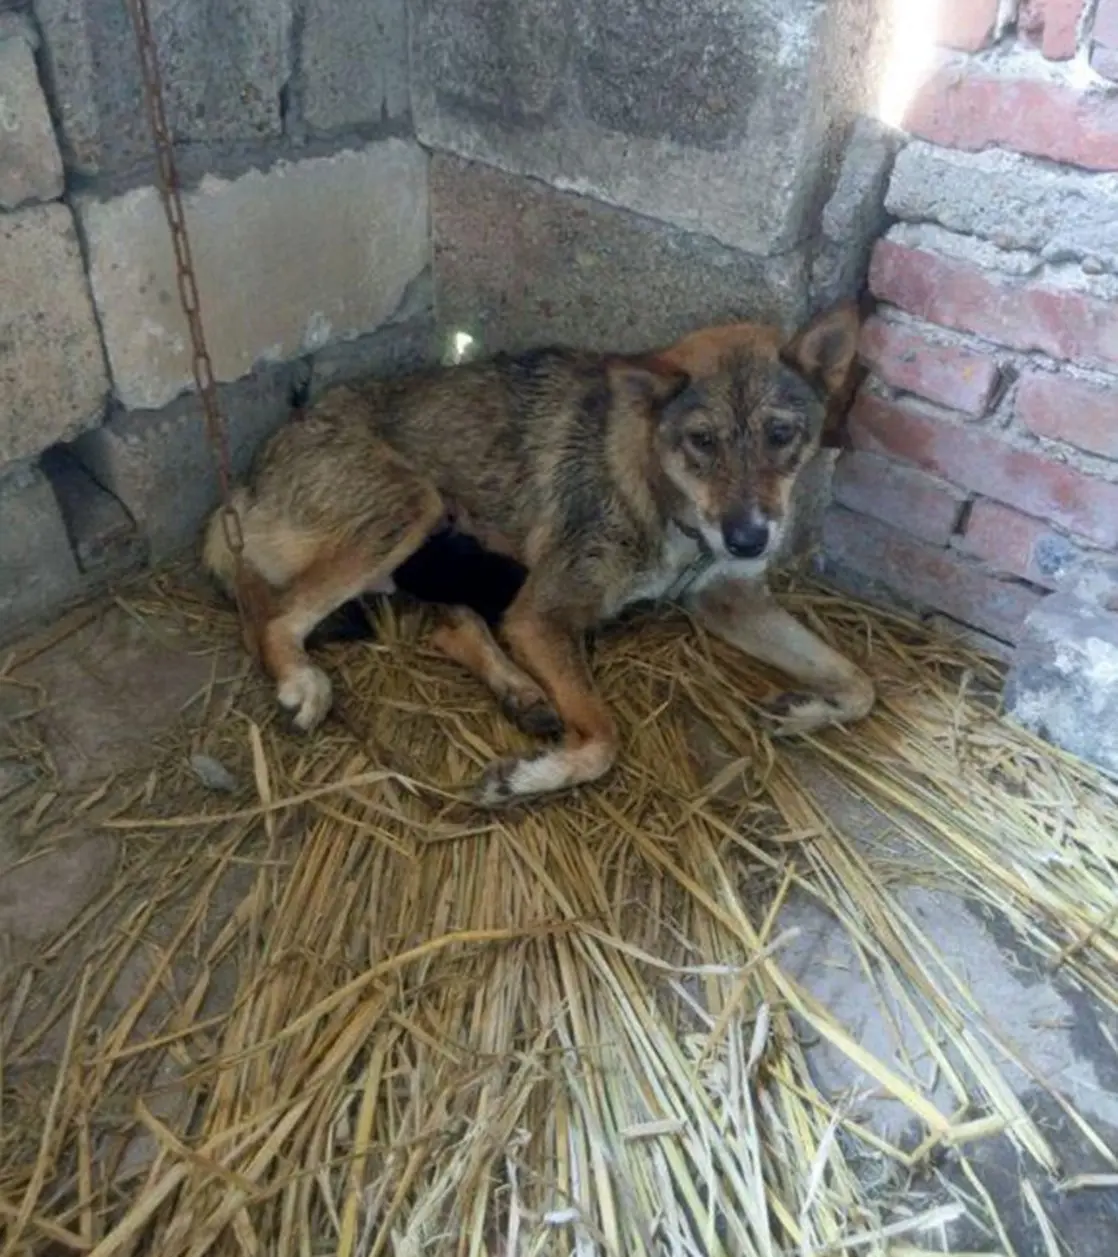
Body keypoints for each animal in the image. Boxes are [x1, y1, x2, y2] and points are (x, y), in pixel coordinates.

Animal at [204, 304, 875, 804]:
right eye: (702, 442)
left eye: (781, 435)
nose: (749, 540)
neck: (657, 492)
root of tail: (245, 485)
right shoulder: (541, 615)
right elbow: (604, 739)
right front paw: (529, 778)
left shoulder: (729, 598)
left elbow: (860, 681)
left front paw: (807, 709)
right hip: (408, 508)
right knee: (275, 620)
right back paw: (302, 681)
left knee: (450, 629)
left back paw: (521, 694)